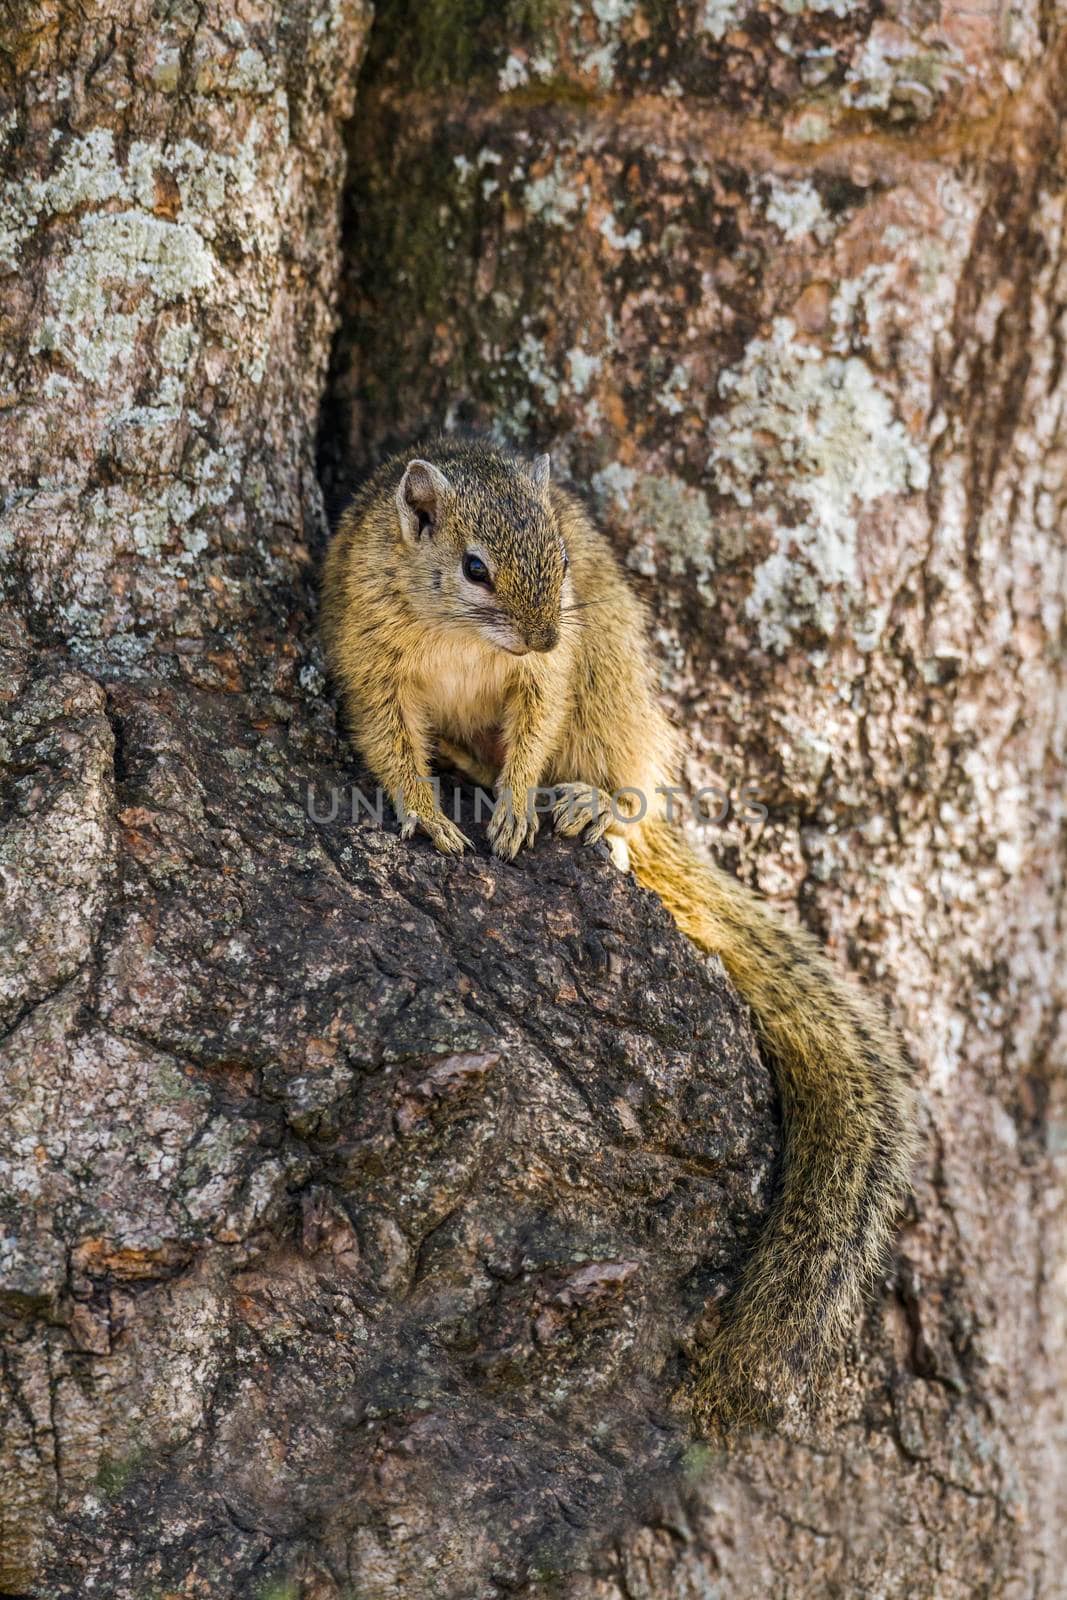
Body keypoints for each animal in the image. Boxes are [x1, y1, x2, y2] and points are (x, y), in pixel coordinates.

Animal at [319, 435, 921, 1427]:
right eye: (473, 567)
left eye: (559, 556)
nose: (541, 632)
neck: (464, 638)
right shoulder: (369, 652)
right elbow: (385, 739)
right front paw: (424, 814)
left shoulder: (548, 676)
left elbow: (535, 724)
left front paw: (515, 808)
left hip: (608, 681)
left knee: (612, 779)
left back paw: (589, 808)